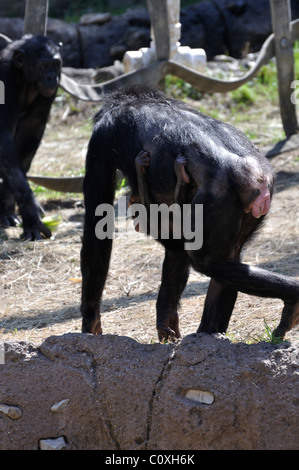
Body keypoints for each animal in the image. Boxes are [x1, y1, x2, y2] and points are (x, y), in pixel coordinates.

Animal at [0, 34, 62, 239]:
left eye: (55, 64)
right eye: (43, 66)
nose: (51, 76)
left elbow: (30, 131)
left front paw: (9, 210)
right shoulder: (5, 78)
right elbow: (4, 137)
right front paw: (31, 215)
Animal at [80, 84, 299, 342]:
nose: (134, 214)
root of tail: (254, 175)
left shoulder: (100, 141)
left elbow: (98, 224)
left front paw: (90, 322)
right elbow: (176, 252)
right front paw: (166, 320)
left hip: (218, 200)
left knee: (206, 261)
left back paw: (292, 300)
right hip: (254, 206)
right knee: (228, 259)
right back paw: (207, 335)